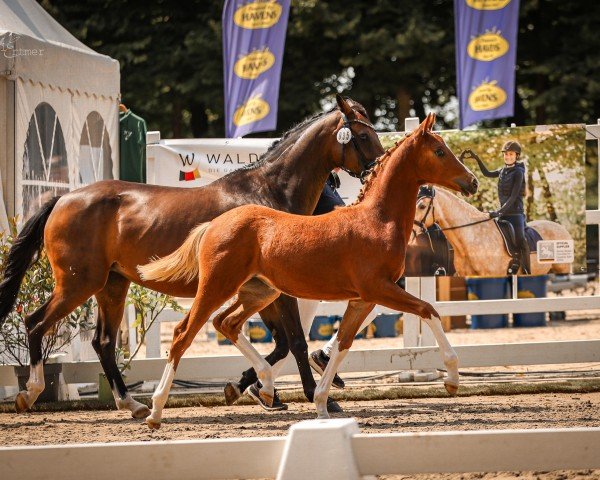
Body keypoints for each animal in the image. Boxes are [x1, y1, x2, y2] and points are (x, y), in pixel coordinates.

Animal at [0, 94, 382, 416]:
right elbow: (297, 343)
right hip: (79, 283)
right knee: (35, 323)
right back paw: (30, 393)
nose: (378, 170)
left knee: (103, 342)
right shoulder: (276, 290)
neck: (267, 192)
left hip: (112, 285)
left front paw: (248, 388)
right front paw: (318, 398)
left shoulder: (262, 290)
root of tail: (62, 199)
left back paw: (132, 404)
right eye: (363, 136)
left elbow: (281, 344)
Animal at [138, 113, 480, 428]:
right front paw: (452, 378)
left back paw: (264, 387)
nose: (472, 181)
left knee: (227, 323)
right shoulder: (379, 288)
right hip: (217, 287)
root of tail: (214, 224)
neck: (376, 220)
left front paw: (321, 405)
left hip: (259, 291)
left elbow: (342, 344)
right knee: (183, 335)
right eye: (439, 151)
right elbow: (428, 310)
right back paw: (155, 411)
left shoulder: (362, 299)